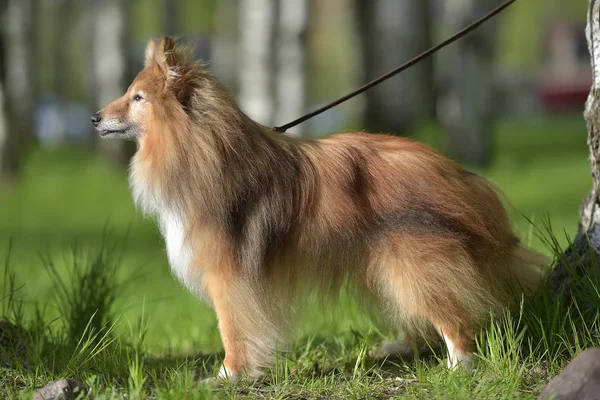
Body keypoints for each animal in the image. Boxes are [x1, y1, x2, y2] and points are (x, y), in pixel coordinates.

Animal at [92, 37, 548, 382]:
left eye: (137, 97)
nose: (95, 117)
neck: (198, 147)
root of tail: (452, 170)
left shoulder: (228, 274)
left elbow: (231, 330)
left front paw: (228, 376)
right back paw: (402, 346)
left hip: (412, 259)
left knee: (451, 314)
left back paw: (457, 366)